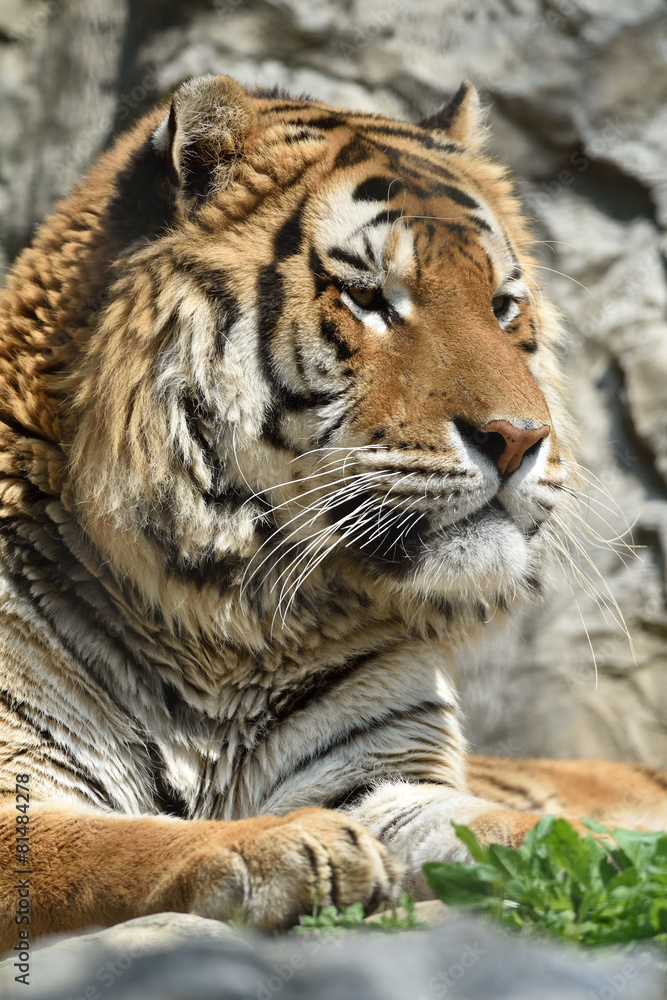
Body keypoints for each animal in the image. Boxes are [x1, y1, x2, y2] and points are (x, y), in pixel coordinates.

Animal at [1, 74, 666, 951]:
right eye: (368, 299)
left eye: (500, 306)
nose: (520, 437)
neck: (227, 626)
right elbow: (103, 844)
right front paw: (284, 848)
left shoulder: (382, 777)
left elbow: (510, 829)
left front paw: (622, 858)